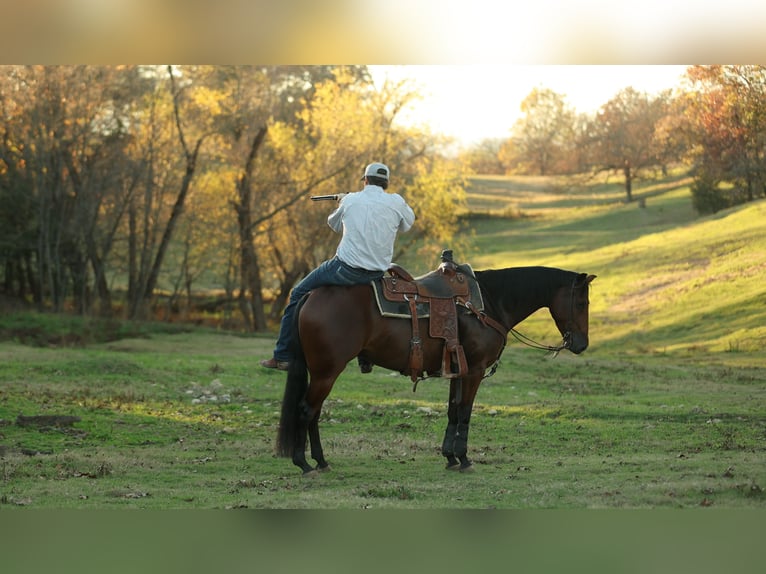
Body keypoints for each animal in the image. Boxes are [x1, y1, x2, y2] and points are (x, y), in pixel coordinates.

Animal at [276, 265, 596, 475]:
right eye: (582, 302)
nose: (581, 345)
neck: (488, 303)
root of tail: (310, 295)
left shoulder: (458, 370)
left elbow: (453, 410)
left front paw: (450, 457)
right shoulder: (474, 370)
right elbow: (465, 411)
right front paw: (464, 459)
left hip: (322, 372)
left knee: (314, 412)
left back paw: (321, 461)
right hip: (327, 371)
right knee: (306, 410)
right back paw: (304, 464)